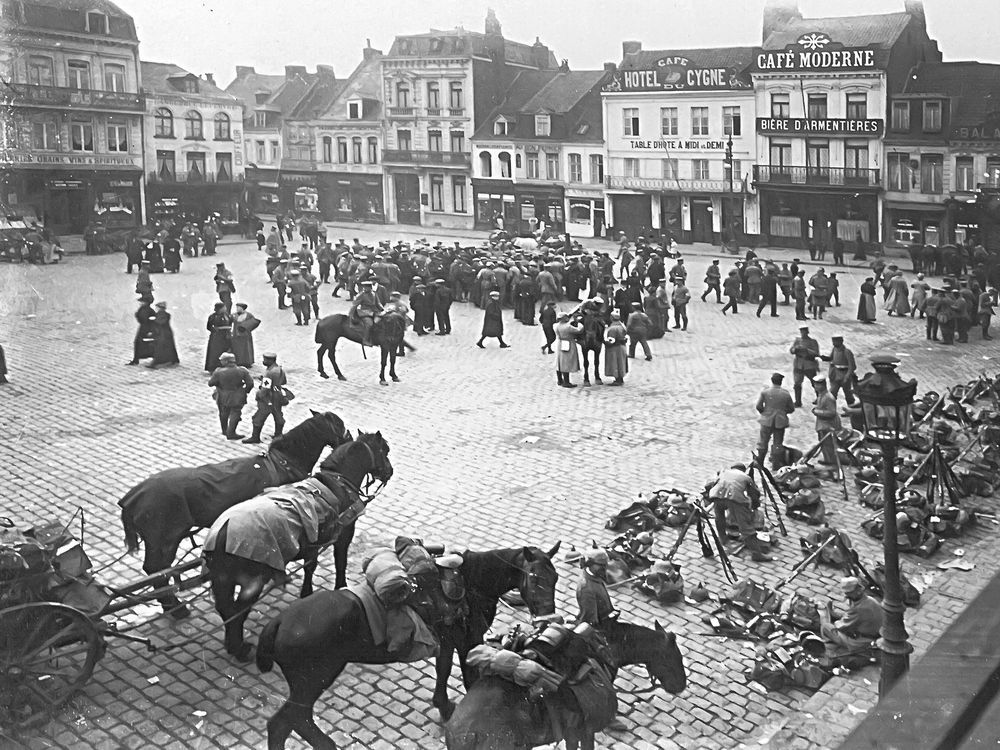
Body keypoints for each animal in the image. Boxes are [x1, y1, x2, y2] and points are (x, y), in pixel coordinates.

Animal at [120, 412, 350, 616]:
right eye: (340, 424)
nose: (349, 439)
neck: (284, 462)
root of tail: (133, 497)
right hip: (166, 541)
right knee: (157, 572)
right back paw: (176, 608)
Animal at [202, 432, 390, 660]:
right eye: (384, 450)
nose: (390, 471)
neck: (338, 483)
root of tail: (223, 532)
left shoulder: (313, 544)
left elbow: (310, 566)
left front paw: (306, 592)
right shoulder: (343, 536)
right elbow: (340, 563)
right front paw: (340, 587)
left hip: (224, 580)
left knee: (227, 610)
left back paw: (232, 645)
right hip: (251, 582)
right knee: (237, 611)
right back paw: (239, 649)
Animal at [256, 544, 564, 748]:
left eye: (555, 578)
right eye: (534, 578)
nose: (547, 617)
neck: (472, 582)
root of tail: (279, 622)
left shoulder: (449, 642)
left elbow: (443, 670)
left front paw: (443, 705)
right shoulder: (468, 643)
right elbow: (467, 680)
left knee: (286, 723)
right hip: (313, 680)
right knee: (289, 721)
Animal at [446, 624, 688, 750]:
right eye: (672, 656)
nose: (681, 685)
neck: (602, 648)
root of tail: (465, 734)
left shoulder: (573, 733)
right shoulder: (585, 730)